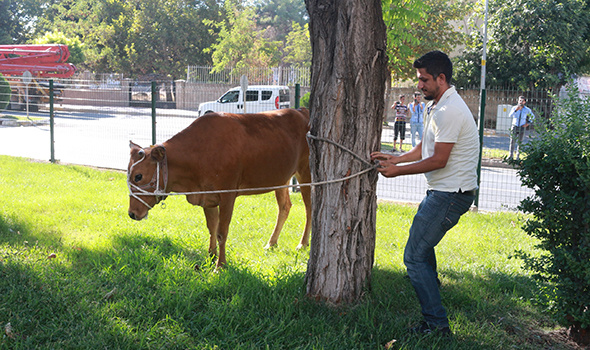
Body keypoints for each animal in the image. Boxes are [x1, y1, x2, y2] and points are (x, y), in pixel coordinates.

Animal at [126, 108, 312, 266]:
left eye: (138, 176)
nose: (131, 214)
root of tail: (302, 110)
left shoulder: (228, 195)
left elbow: (222, 232)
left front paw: (220, 265)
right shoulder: (207, 196)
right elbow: (212, 228)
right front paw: (211, 255)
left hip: (306, 172)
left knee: (309, 209)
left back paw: (302, 243)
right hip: (282, 178)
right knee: (285, 206)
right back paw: (271, 243)